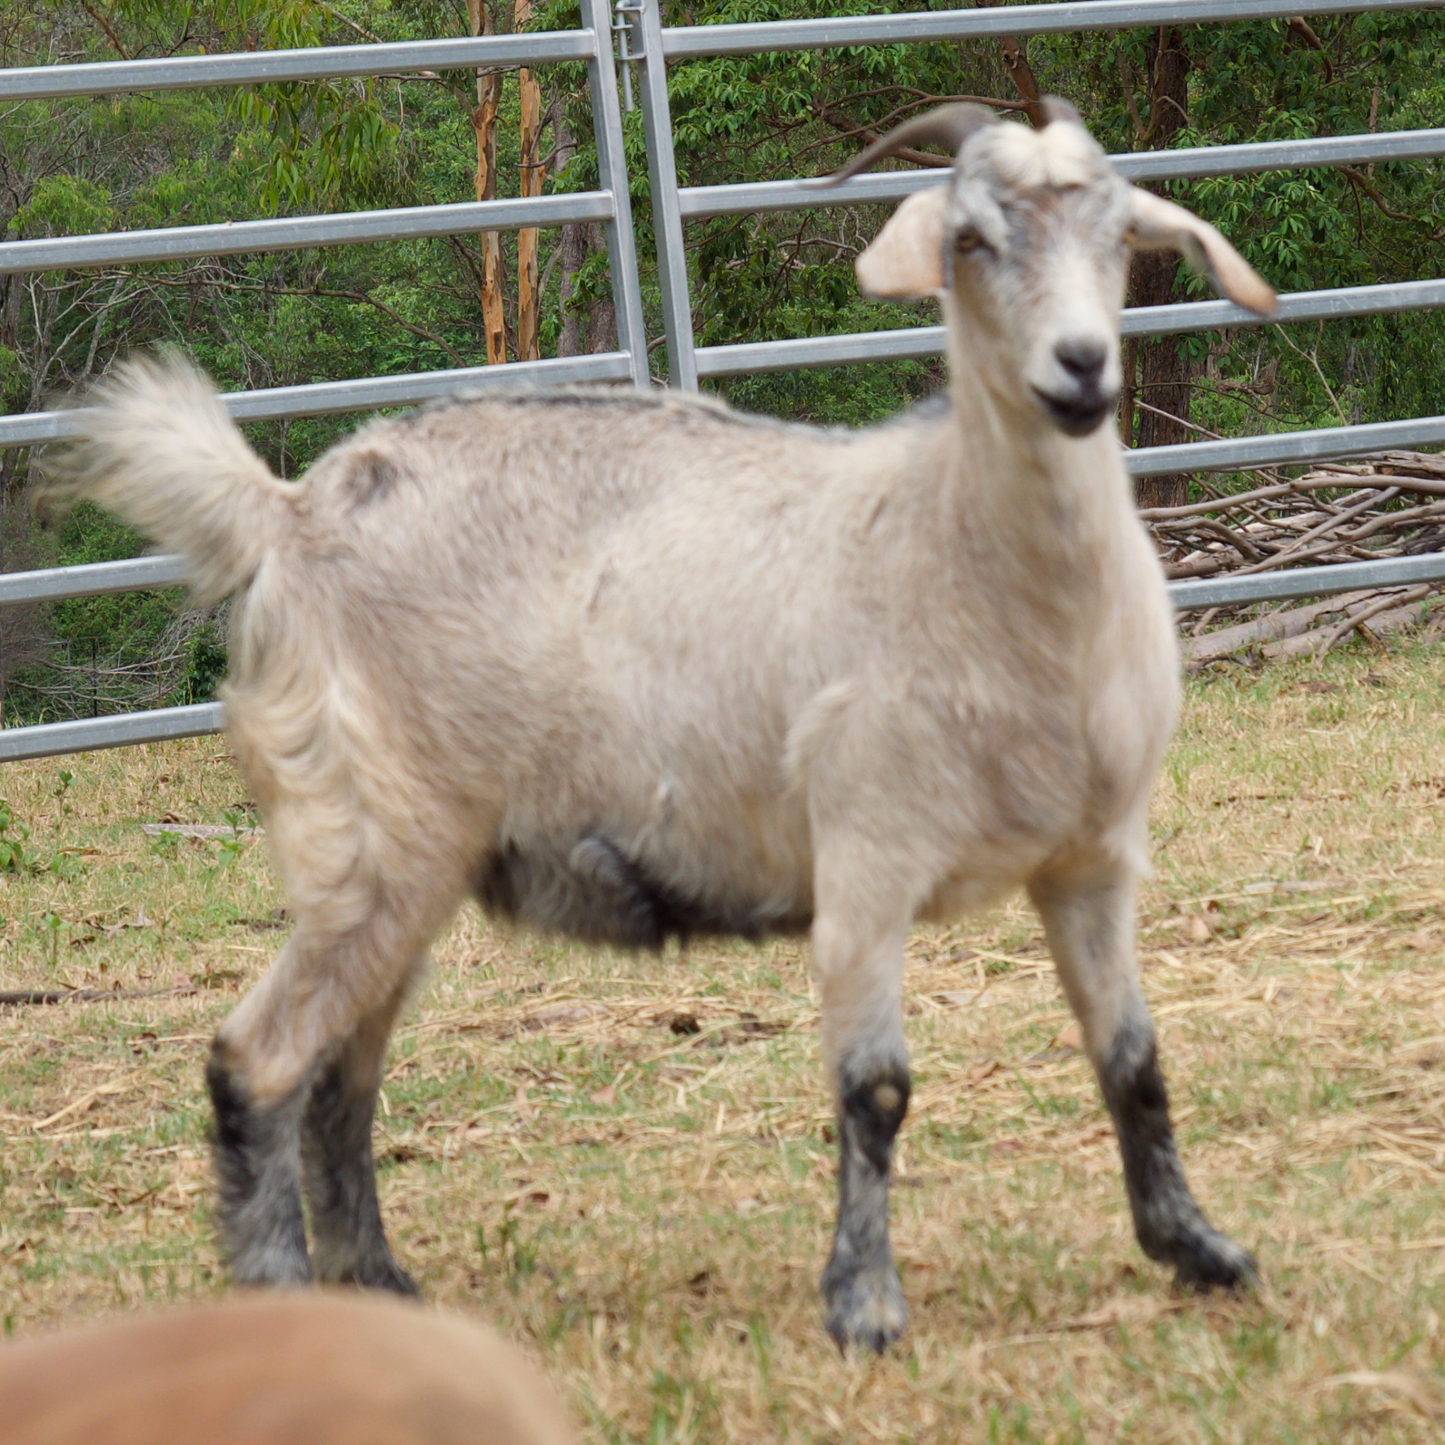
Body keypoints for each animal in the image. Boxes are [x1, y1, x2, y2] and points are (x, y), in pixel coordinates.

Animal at [43, 99, 1276, 1353]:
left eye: (1120, 235)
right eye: (969, 239)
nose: (1080, 366)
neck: (955, 541)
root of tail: (287, 509)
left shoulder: (1093, 858)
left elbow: (1132, 1056)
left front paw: (1198, 1248)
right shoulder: (865, 854)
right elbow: (873, 1088)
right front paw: (862, 1306)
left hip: (409, 864)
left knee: (342, 1077)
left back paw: (380, 1286)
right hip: (370, 835)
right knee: (261, 1060)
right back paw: (289, 1297)